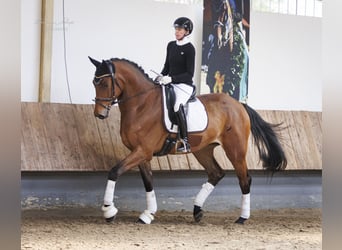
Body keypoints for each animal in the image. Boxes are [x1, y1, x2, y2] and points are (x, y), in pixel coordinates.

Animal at [87, 56, 286, 225]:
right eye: (94, 82)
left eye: (104, 82)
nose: (99, 114)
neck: (141, 104)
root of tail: (239, 105)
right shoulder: (141, 153)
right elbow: (148, 182)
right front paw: (148, 214)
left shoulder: (142, 151)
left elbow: (114, 171)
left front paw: (109, 211)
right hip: (203, 149)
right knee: (216, 173)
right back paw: (197, 211)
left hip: (235, 150)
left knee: (244, 179)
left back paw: (242, 218)